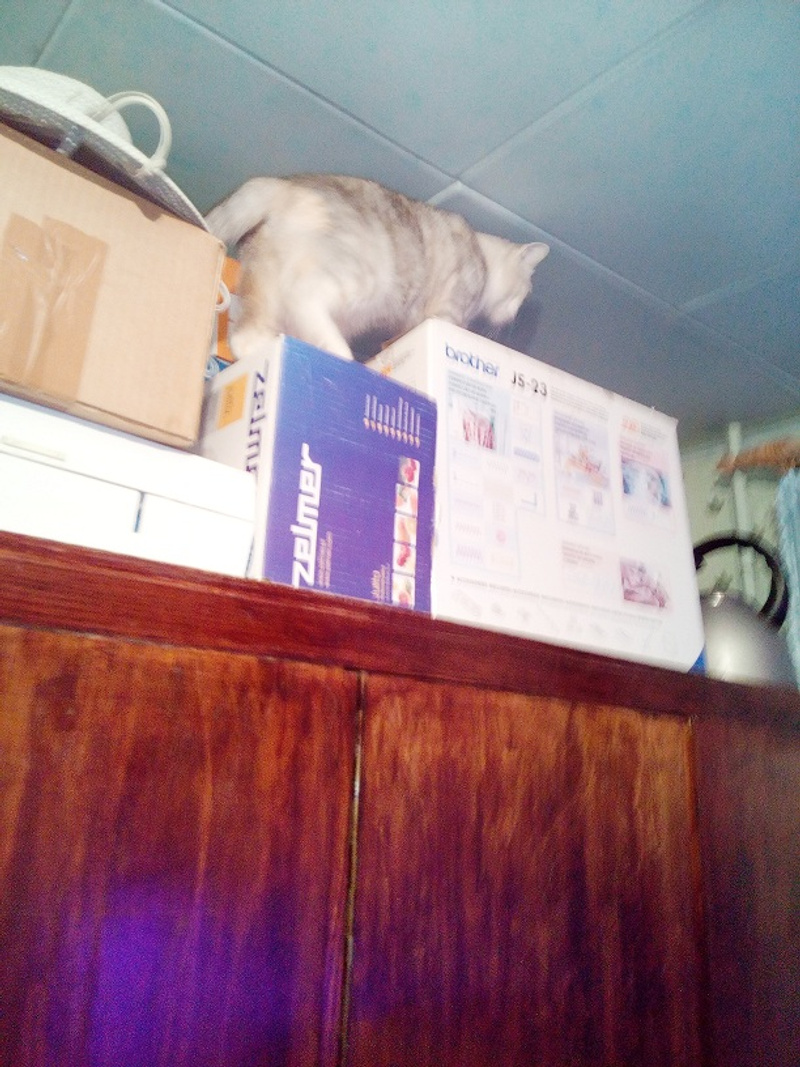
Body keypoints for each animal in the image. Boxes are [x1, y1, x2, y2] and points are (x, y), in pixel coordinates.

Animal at [205, 174, 549, 361]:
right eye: (523, 294)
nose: (512, 317)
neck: (481, 253)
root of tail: (286, 184)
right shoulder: (446, 313)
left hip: (265, 279)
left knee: (248, 334)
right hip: (360, 279)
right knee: (303, 296)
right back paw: (339, 354)